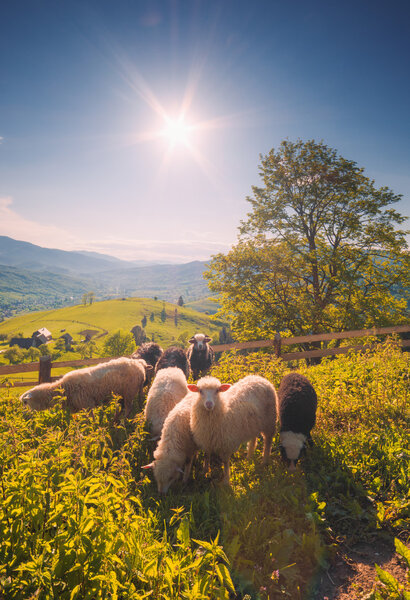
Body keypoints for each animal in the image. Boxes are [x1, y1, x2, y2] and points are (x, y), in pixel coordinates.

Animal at [19, 356, 152, 418]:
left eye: (25, 402)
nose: (24, 415)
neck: (63, 388)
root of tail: (139, 364)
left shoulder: (87, 404)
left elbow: (90, 420)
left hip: (129, 391)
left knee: (128, 408)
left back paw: (122, 422)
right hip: (133, 390)